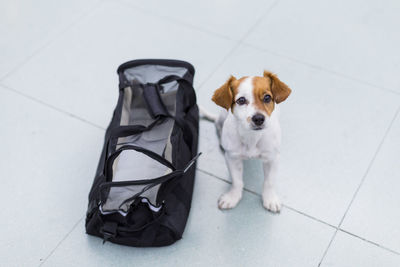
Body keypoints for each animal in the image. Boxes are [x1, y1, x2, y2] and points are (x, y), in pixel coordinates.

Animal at [202, 70, 292, 214]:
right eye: (241, 100)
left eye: (267, 97)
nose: (258, 119)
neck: (252, 137)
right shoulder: (232, 158)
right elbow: (237, 181)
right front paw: (233, 197)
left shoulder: (272, 158)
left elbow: (269, 182)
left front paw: (270, 198)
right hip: (222, 116)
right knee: (217, 123)